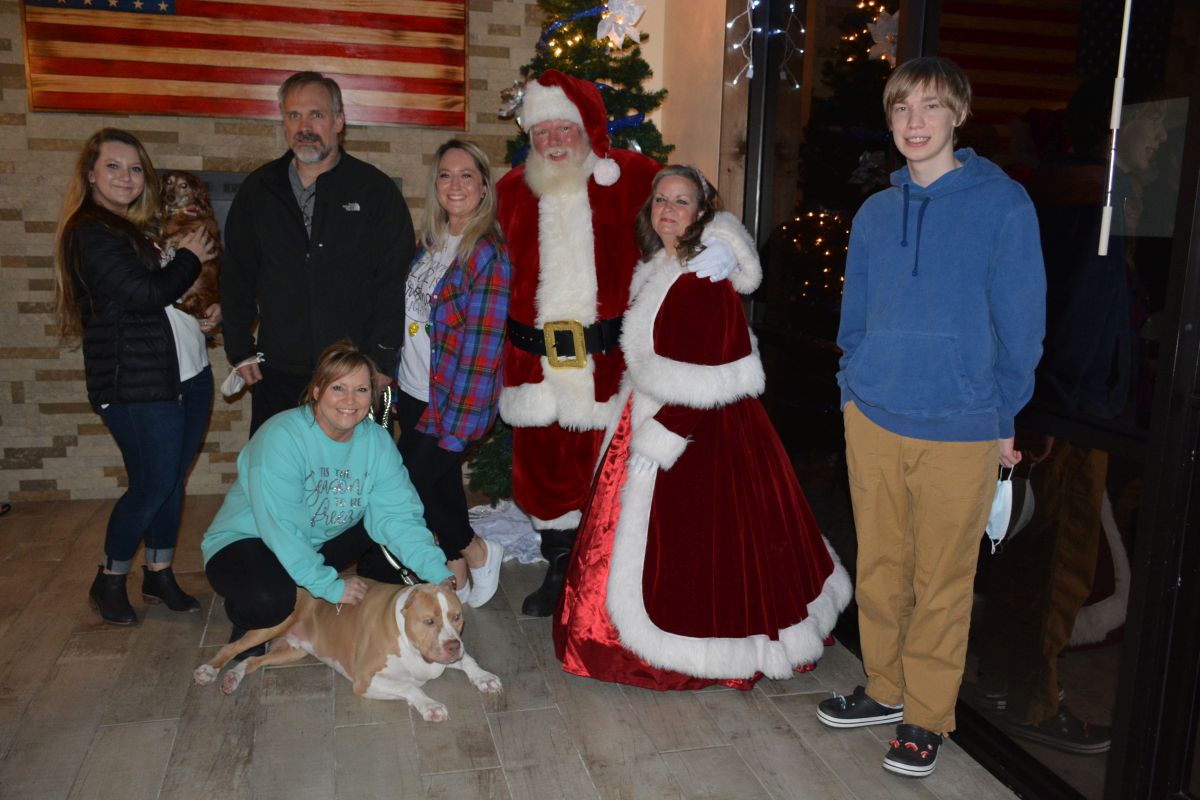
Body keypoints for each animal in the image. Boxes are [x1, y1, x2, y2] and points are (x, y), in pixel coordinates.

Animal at [160, 170, 222, 318]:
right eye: (168, 182)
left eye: (184, 185)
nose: (169, 198)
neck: (183, 211)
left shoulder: (194, 231)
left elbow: (169, 237)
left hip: (197, 296)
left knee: (188, 309)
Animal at [193, 581, 502, 722]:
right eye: (429, 621)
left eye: (457, 617)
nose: (453, 645)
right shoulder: (366, 680)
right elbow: (410, 687)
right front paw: (430, 705)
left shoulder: (443, 658)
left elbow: (469, 660)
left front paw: (484, 677)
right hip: (272, 624)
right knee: (234, 647)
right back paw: (209, 670)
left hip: (294, 651)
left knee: (254, 660)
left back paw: (232, 677)